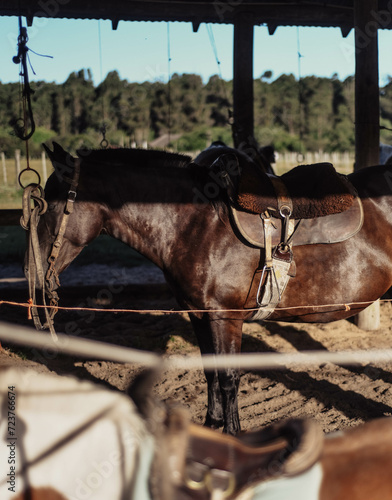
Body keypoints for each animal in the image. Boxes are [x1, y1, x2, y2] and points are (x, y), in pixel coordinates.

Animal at [29, 142, 392, 434]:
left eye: (52, 205)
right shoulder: (199, 314)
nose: (33, 272)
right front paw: (212, 424)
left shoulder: (224, 316)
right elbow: (210, 372)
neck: (197, 223)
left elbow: (229, 377)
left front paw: (232, 434)